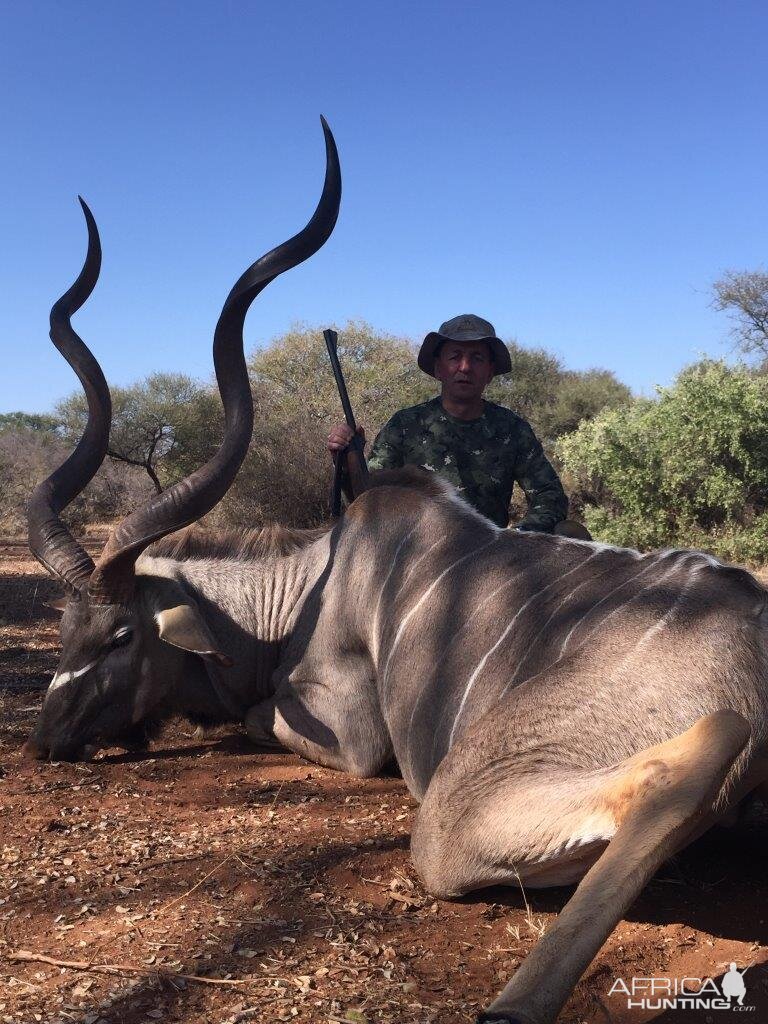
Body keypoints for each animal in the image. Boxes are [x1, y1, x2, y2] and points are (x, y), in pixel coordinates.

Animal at [20, 121, 768, 1024]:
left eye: (122, 632)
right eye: (66, 628)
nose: (44, 741)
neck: (299, 594)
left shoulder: (348, 735)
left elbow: (259, 721)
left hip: (462, 808)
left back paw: (514, 1004)